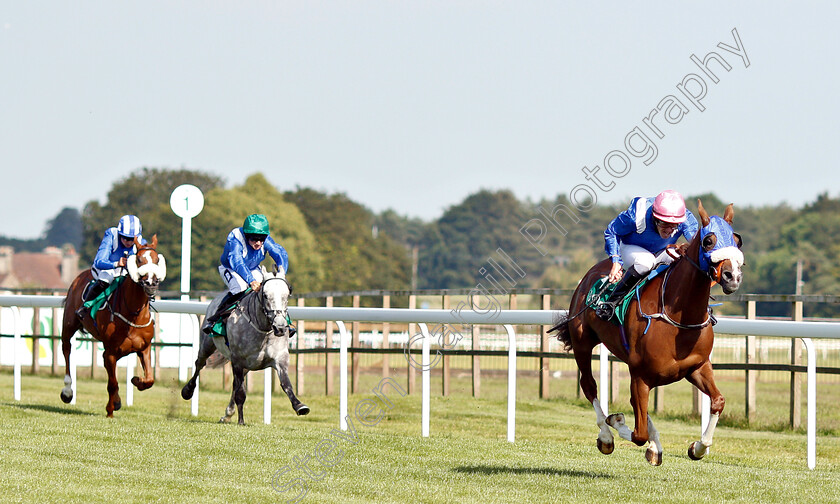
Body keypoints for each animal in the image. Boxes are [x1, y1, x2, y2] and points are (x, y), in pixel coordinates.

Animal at [60, 234, 167, 416]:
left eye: (156, 260)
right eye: (138, 259)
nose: (151, 283)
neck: (133, 315)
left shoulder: (144, 348)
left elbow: (150, 380)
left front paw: (136, 380)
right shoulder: (109, 353)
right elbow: (113, 383)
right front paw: (112, 406)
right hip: (69, 324)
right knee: (67, 349)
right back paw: (67, 391)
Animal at [180, 270, 308, 424]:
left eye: (287, 295)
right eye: (266, 295)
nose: (280, 327)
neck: (262, 329)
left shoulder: (280, 358)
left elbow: (286, 384)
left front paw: (299, 406)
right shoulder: (237, 360)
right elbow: (240, 393)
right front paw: (241, 421)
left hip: (246, 366)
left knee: (235, 384)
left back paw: (228, 414)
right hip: (207, 344)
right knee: (200, 364)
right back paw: (188, 390)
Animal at [552, 200, 740, 464]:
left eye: (737, 240)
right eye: (708, 241)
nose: (733, 276)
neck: (677, 318)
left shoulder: (697, 367)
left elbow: (717, 401)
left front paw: (698, 447)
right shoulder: (640, 375)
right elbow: (637, 433)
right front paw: (616, 421)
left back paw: (654, 445)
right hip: (582, 342)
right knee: (589, 386)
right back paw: (607, 436)